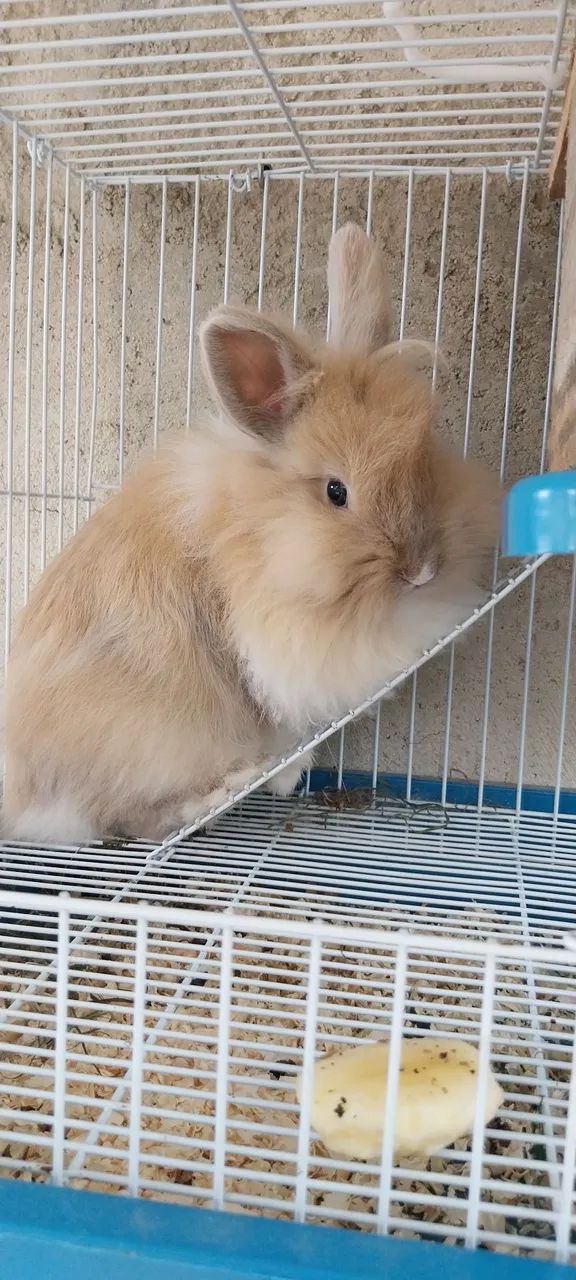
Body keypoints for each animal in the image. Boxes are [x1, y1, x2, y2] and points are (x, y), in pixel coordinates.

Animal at [3, 222, 500, 844]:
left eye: (427, 456)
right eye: (336, 491)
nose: (422, 570)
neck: (261, 529)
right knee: (126, 818)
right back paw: (235, 786)